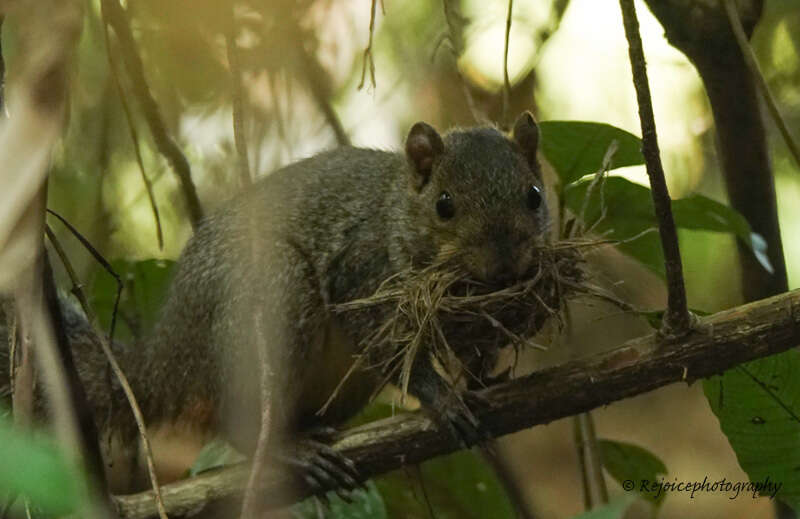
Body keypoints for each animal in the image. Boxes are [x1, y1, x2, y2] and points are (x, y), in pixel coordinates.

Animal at [0, 111, 552, 502]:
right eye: (444, 205)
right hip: (275, 300)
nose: (506, 261)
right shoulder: (361, 272)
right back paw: (290, 452)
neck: (398, 212)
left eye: (534, 194)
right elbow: (388, 345)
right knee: (236, 421)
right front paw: (442, 397)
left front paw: (482, 378)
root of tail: (166, 361)